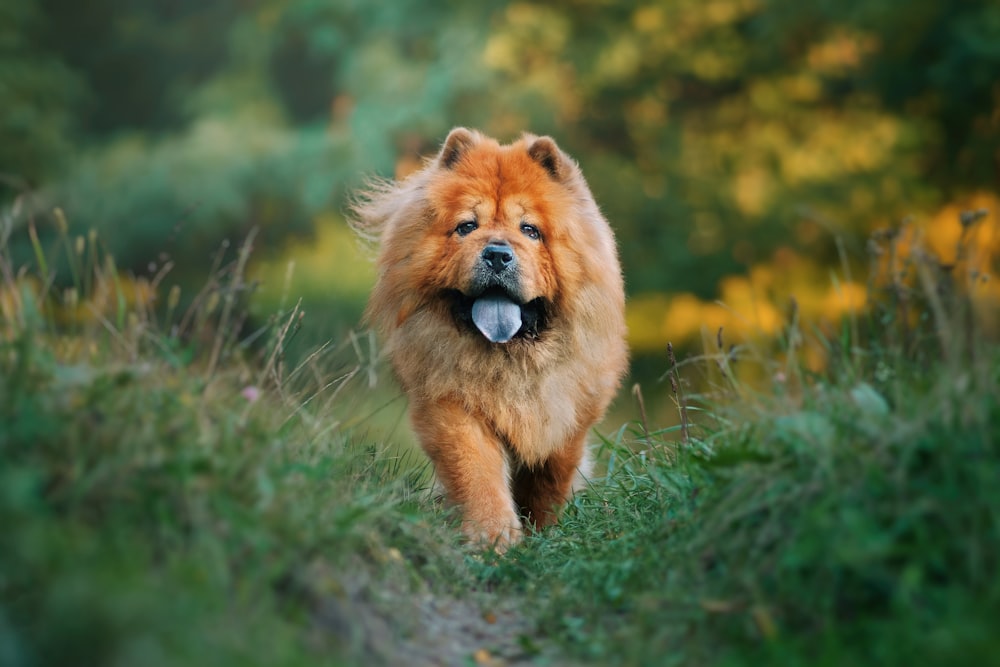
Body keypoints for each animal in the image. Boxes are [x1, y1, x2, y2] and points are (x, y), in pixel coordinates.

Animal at [356, 128, 628, 552]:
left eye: (530, 230)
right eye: (467, 226)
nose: (497, 254)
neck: (510, 359)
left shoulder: (570, 414)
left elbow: (550, 477)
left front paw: (544, 532)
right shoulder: (452, 404)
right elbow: (477, 472)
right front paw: (493, 537)